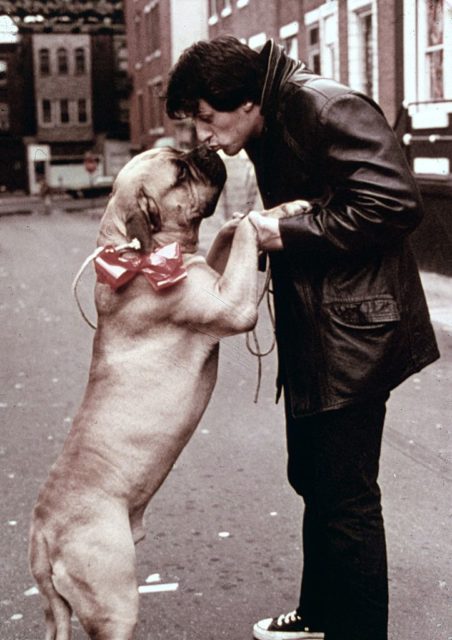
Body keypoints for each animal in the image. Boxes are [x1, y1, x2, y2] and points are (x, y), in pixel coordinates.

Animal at [28, 146, 262, 640]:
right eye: (179, 172)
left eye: (183, 156)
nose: (204, 148)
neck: (137, 254)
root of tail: (42, 537)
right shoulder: (233, 303)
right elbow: (246, 238)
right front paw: (271, 215)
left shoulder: (212, 271)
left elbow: (227, 239)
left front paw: (252, 217)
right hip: (115, 603)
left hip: (58, 613)